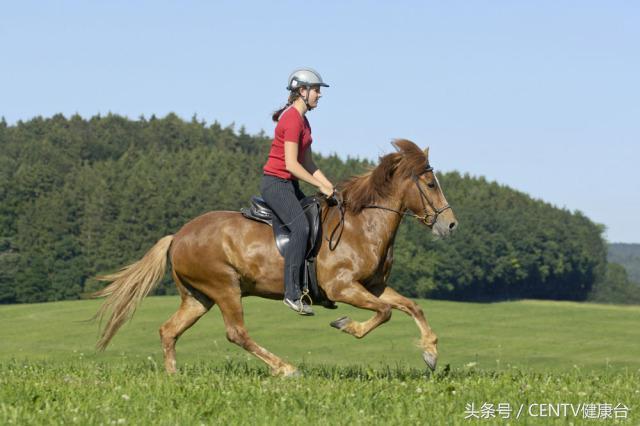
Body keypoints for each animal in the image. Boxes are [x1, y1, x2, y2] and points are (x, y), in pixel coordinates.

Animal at [92, 140, 458, 376]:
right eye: (430, 183)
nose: (451, 224)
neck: (362, 224)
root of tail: (178, 236)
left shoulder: (374, 287)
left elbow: (411, 307)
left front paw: (430, 353)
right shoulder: (343, 288)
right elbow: (384, 313)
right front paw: (346, 325)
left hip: (198, 297)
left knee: (169, 331)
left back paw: (173, 377)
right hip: (225, 288)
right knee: (236, 333)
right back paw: (286, 369)